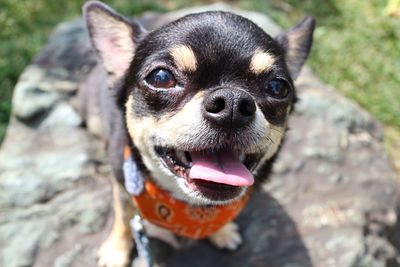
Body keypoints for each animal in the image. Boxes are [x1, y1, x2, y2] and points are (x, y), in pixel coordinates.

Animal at [82, 1, 316, 266]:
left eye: (277, 87)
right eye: (161, 77)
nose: (232, 103)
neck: (191, 208)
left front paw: (222, 232)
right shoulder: (123, 184)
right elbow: (123, 217)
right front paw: (116, 250)